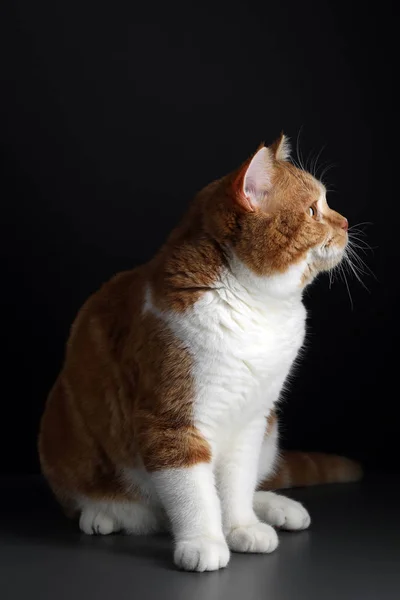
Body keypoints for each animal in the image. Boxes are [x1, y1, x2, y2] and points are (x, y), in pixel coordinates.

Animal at [39, 135, 360, 572]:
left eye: (327, 204)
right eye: (313, 210)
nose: (345, 222)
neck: (257, 307)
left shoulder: (250, 418)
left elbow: (236, 484)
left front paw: (241, 527)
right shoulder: (170, 421)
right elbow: (194, 492)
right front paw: (204, 541)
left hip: (271, 430)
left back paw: (275, 509)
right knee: (100, 504)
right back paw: (102, 515)